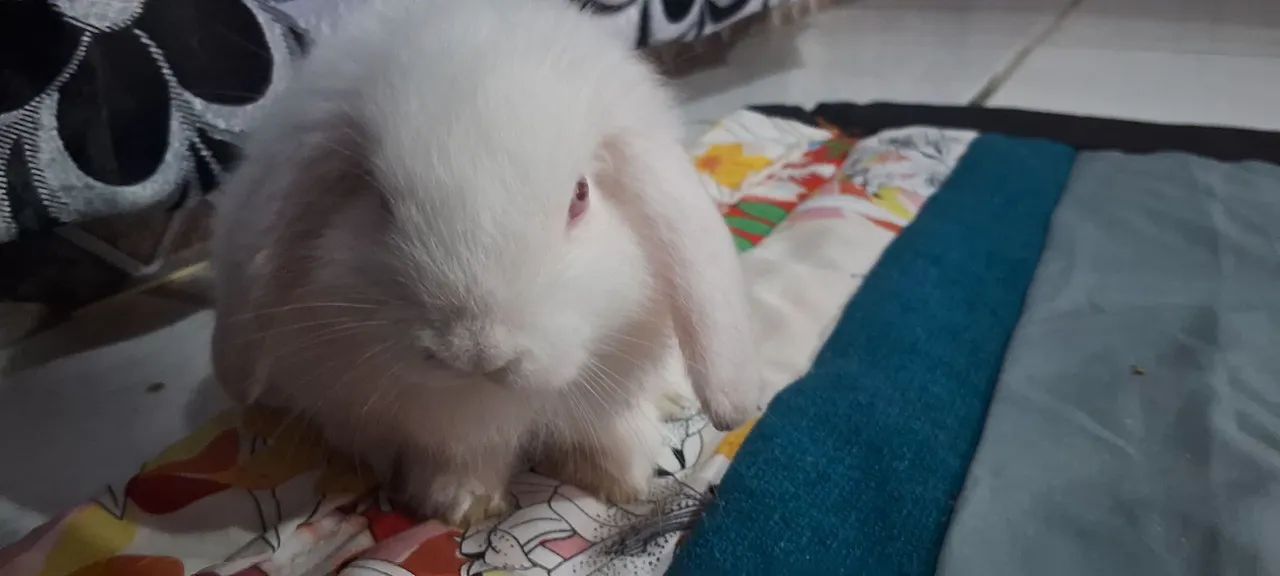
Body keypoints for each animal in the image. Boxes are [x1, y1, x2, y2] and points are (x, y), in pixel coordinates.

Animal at [210, 0, 763, 526]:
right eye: (380, 200)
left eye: (580, 196)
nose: (476, 352)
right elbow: (460, 458)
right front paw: (461, 504)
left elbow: (603, 427)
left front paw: (621, 476)